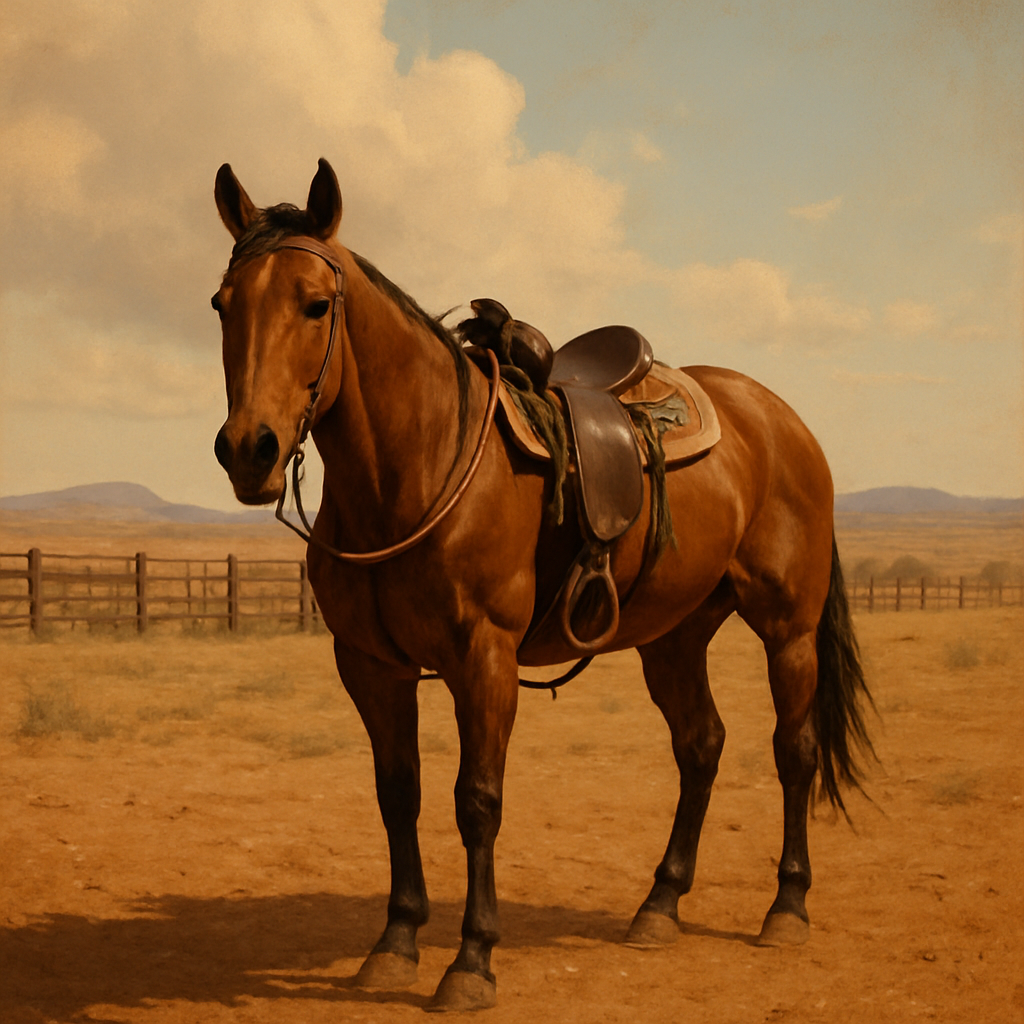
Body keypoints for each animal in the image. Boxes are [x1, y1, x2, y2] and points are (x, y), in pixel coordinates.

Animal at [210, 158, 873, 1012]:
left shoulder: (483, 658)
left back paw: (786, 907)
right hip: (675, 635)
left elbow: (477, 800)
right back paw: (659, 904)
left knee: (793, 749)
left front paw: (471, 961)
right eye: (222, 306)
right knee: (701, 746)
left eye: (316, 304)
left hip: (787, 624)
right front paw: (395, 942)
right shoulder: (370, 665)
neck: (417, 464)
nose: (248, 449)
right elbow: (398, 793)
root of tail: (782, 420)